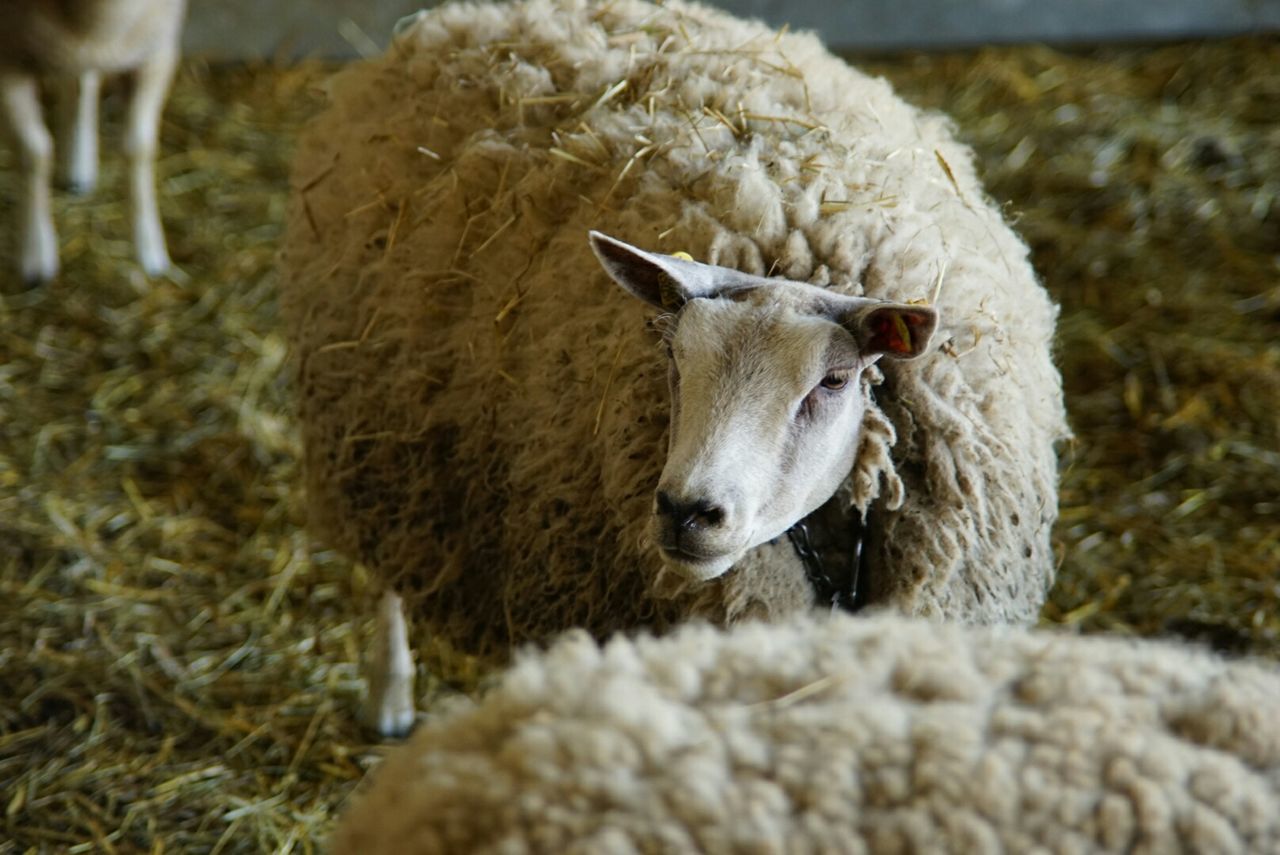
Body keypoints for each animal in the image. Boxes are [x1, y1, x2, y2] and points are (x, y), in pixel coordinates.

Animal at [0, 0, 186, 284]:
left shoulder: (158, 50)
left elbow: (139, 148)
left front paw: (150, 248)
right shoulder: (8, 61)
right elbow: (34, 153)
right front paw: (37, 251)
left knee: (84, 76)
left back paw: (79, 167)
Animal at [280, 0, 1070, 737]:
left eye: (833, 381)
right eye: (673, 358)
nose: (688, 511)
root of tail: (464, 16)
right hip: (374, 434)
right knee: (386, 578)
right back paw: (388, 696)